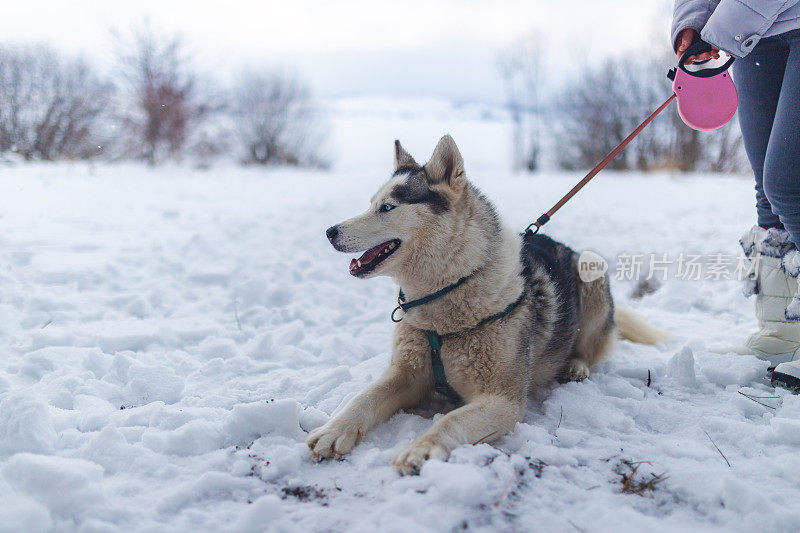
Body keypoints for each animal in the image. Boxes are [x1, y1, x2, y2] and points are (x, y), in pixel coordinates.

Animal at [306, 135, 664, 472]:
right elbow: (362, 399)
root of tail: (567, 247)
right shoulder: (405, 374)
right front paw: (334, 430)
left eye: (388, 208)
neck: (450, 290)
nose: (329, 231)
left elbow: (451, 420)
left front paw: (421, 448)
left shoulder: (502, 400)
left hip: (591, 267)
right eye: (371, 204)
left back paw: (576, 365)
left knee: (592, 349)